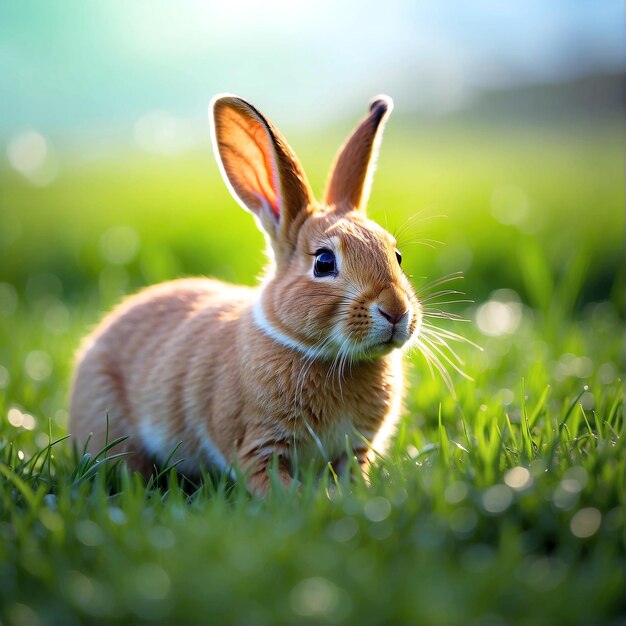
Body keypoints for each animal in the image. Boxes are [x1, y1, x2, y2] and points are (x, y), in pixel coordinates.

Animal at [69, 92, 420, 492]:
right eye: (324, 262)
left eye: (397, 255)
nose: (396, 311)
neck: (324, 354)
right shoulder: (258, 445)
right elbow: (274, 484)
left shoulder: (355, 450)